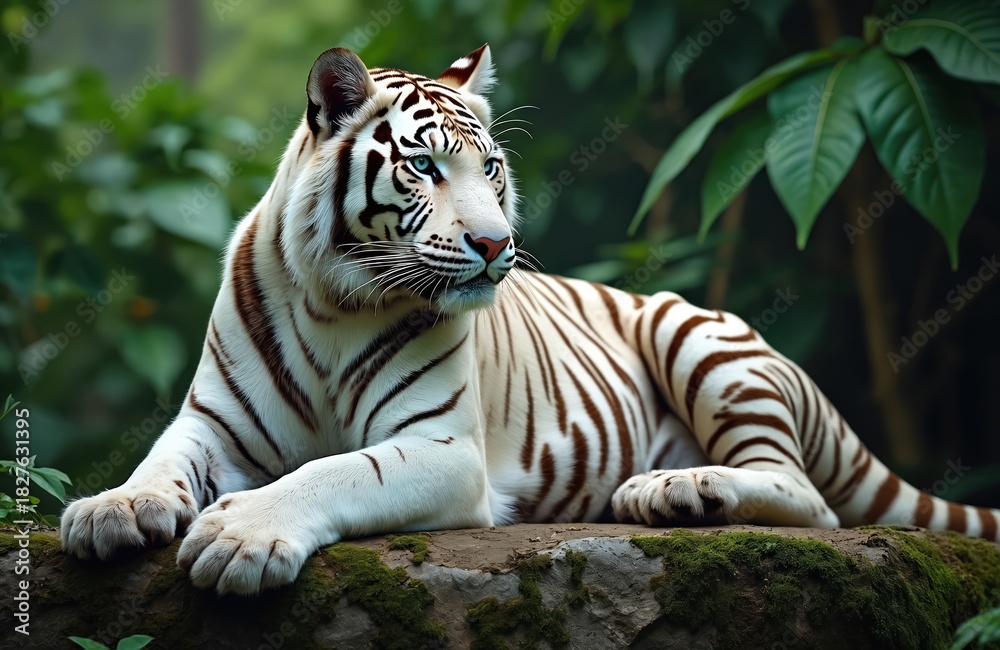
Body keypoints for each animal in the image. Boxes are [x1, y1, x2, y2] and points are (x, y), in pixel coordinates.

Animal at [61, 44, 1000, 596]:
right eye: (424, 168)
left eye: (492, 169)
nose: (495, 243)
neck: (335, 297)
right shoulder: (211, 424)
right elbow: (160, 462)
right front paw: (110, 511)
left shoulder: (445, 448)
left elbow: (334, 473)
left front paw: (241, 535)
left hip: (698, 338)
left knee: (809, 497)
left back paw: (674, 489)